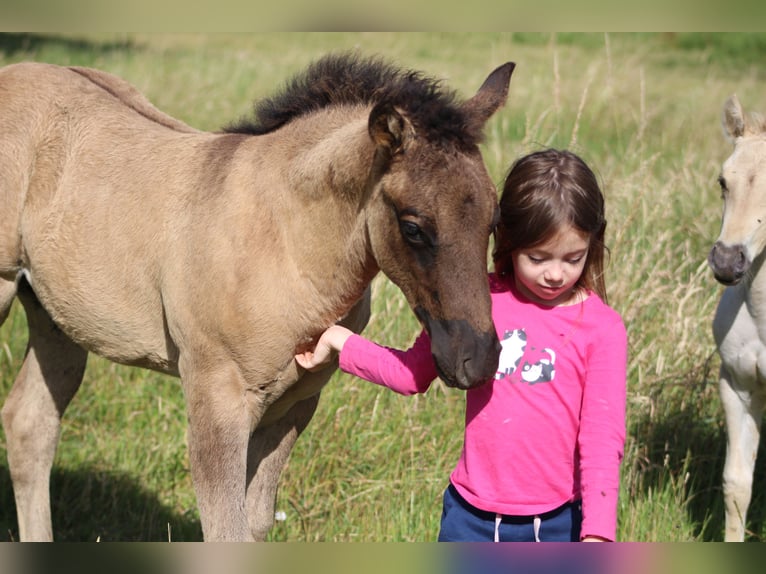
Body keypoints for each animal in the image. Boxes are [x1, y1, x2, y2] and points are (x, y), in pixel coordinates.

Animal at [0, 52, 513, 541]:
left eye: (493, 219)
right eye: (413, 227)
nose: (477, 359)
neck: (284, 240)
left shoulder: (294, 404)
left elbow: (256, 522)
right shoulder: (216, 397)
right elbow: (226, 530)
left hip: (56, 319)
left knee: (31, 425)